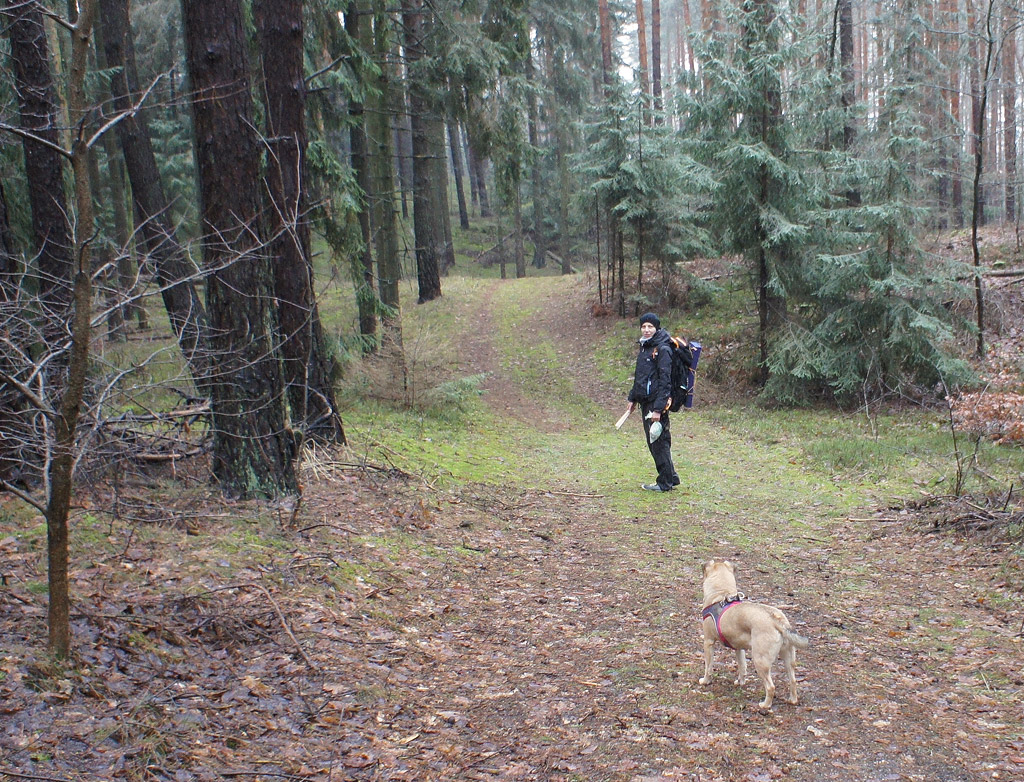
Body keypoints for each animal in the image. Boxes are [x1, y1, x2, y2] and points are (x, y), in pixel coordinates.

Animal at [700, 556, 811, 708]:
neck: (722, 593)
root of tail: (777, 620)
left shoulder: (708, 642)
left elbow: (708, 667)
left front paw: (705, 681)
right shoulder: (738, 648)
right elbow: (742, 666)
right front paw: (740, 682)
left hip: (760, 660)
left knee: (770, 687)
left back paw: (765, 705)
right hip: (788, 657)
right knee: (793, 681)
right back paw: (792, 700)